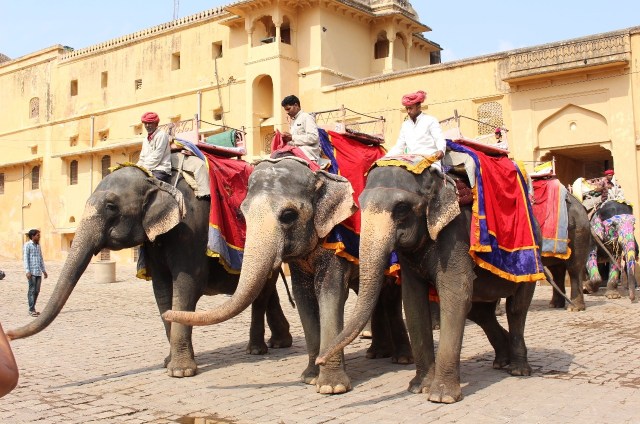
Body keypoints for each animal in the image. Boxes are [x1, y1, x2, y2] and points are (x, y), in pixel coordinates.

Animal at [7, 163, 293, 377]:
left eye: (111, 206)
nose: (8, 334)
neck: (155, 180)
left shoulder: (190, 229)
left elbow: (186, 285)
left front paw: (180, 372)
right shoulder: (155, 241)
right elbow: (162, 289)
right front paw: (169, 363)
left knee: (261, 295)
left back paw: (256, 350)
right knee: (266, 293)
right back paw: (279, 343)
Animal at [163, 157, 413, 394]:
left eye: (289, 215)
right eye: (242, 214)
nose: (167, 313)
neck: (317, 174)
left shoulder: (336, 242)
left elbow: (330, 294)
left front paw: (332, 387)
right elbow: (303, 297)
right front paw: (310, 377)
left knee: (390, 297)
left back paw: (400, 359)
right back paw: (377, 353)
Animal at [316, 164, 539, 403]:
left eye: (402, 208)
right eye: (361, 204)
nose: (319, 360)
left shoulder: (455, 235)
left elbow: (455, 295)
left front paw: (442, 396)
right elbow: (413, 301)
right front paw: (418, 387)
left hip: (532, 258)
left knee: (516, 309)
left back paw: (518, 369)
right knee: (481, 313)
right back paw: (501, 361)